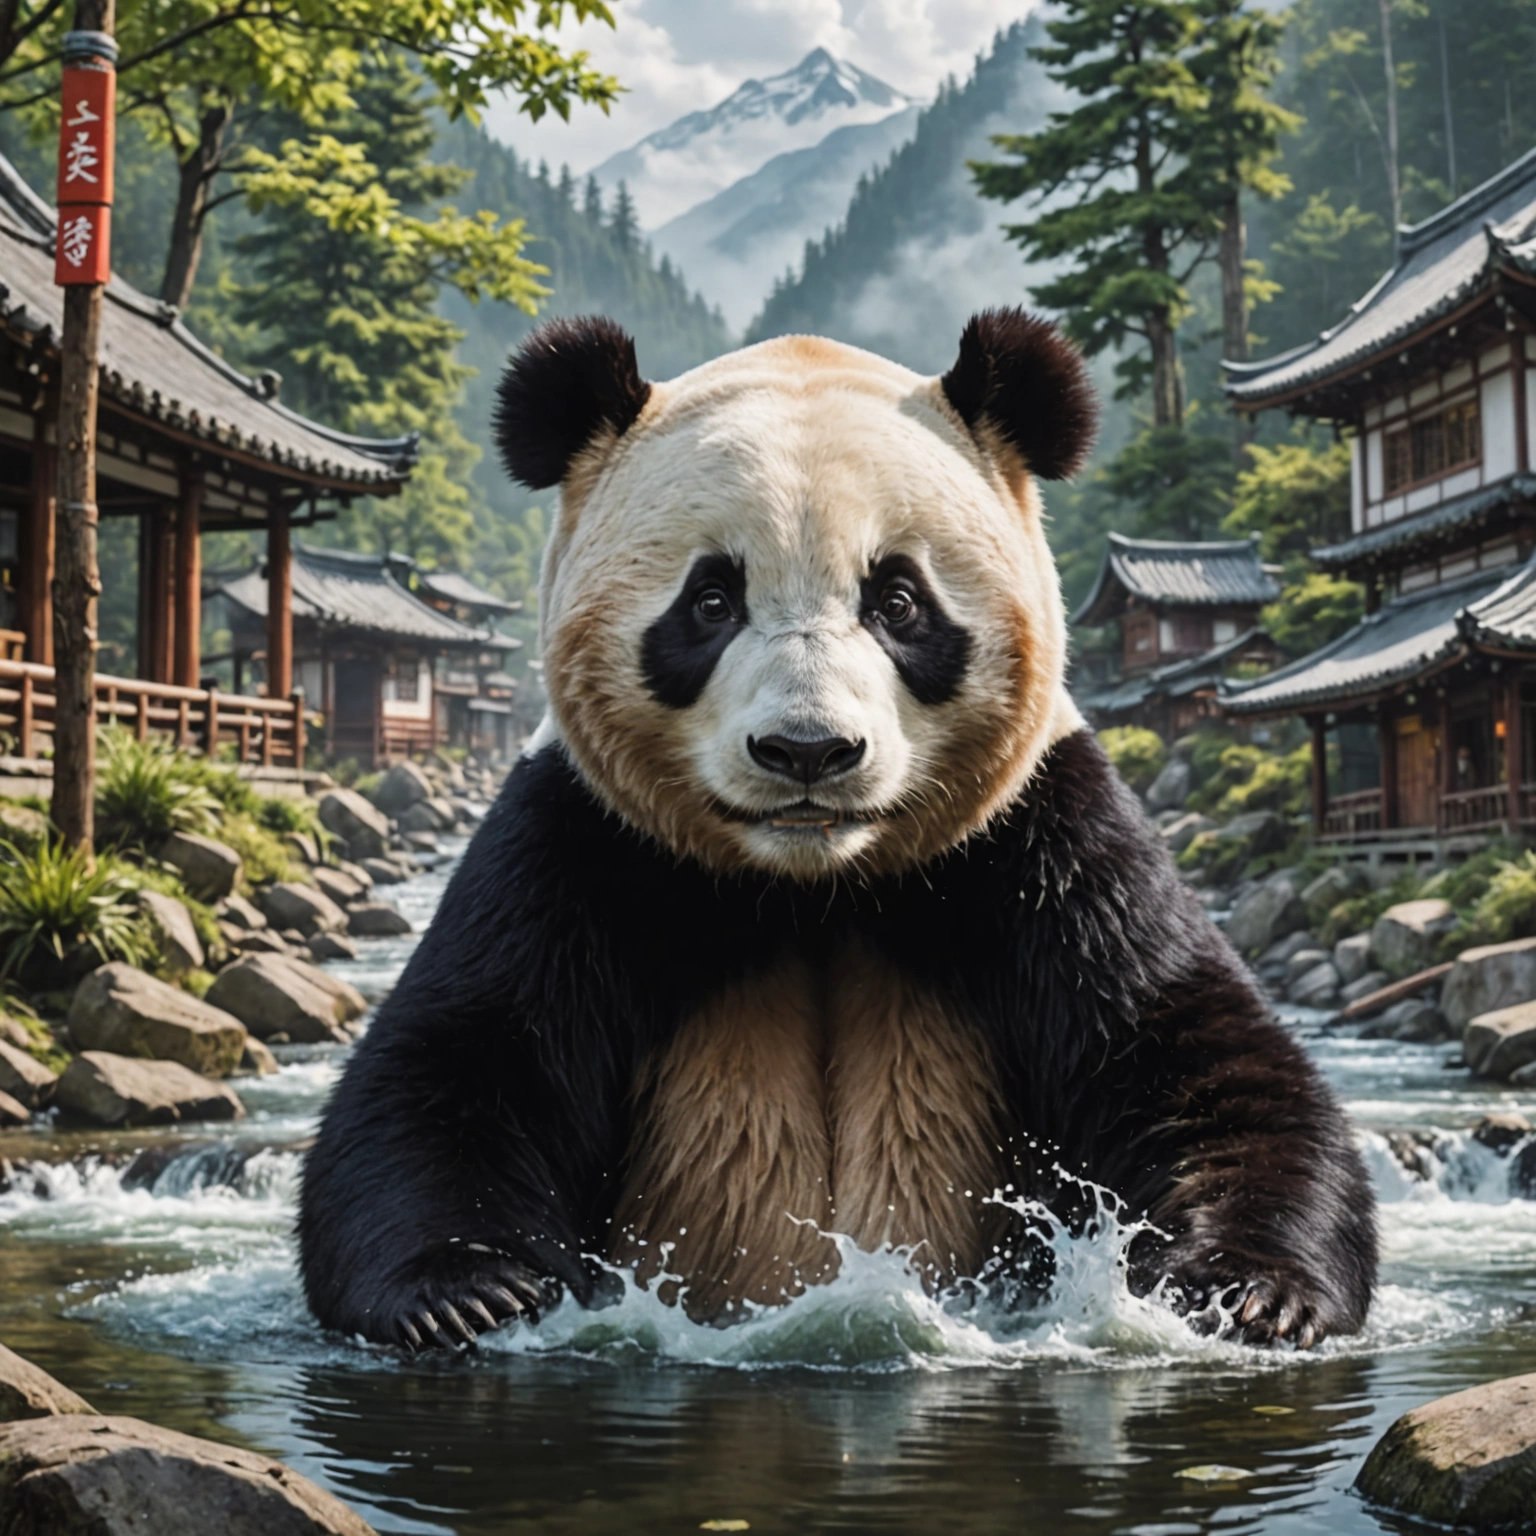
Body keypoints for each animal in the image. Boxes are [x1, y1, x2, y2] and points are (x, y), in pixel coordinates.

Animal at [297, 311, 1377, 1352]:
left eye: (898, 600)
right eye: (710, 599)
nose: (808, 751)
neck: (812, 885)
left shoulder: (1043, 841)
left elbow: (1192, 1056)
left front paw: (1248, 1293)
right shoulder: (579, 841)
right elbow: (459, 1061)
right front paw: (468, 1294)